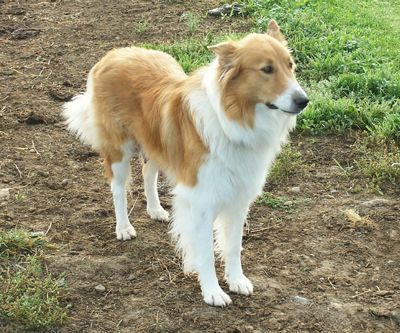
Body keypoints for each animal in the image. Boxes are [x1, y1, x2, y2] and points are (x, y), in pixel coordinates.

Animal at [62, 20, 308, 306]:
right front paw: (212, 291)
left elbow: (233, 246)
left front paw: (236, 280)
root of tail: (114, 53)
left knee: (148, 172)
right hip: (119, 151)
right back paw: (123, 227)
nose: (304, 101)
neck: (232, 118)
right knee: (118, 189)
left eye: (290, 65)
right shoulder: (202, 199)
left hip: (156, 142)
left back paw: (155, 209)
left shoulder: (238, 197)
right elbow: (206, 251)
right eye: (267, 69)